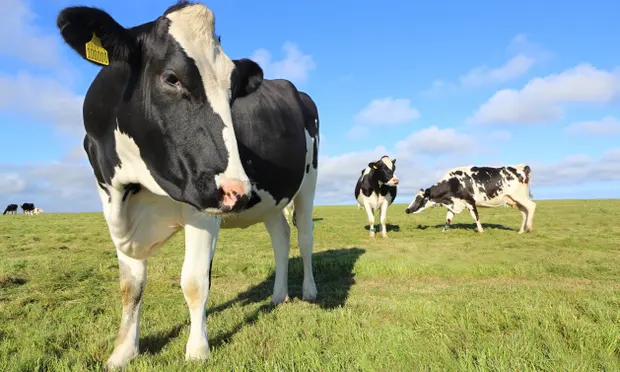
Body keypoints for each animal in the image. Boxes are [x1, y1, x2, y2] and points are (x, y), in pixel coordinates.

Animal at [55, 2, 320, 370]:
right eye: (171, 77)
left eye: (231, 91)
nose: (239, 191)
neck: (136, 184)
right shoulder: (110, 197)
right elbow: (131, 285)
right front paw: (123, 351)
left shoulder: (204, 204)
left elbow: (195, 281)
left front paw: (197, 350)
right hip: (271, 198)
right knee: (280, 237)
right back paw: (278, 296)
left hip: (308, 182)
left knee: (305, 235)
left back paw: (309, 291)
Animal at [404, 165, 536, 234]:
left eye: (419, 198)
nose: (407, 210)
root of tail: (521, 166)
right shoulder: (454, 203)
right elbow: (448, 218)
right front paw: (444, 230)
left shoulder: (469, 201)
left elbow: (475, 216)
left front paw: (480, 230)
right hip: (515, 200)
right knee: (524, 212)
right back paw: (521, 231)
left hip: (519, 196)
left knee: (531, 206)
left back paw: (529, 227)